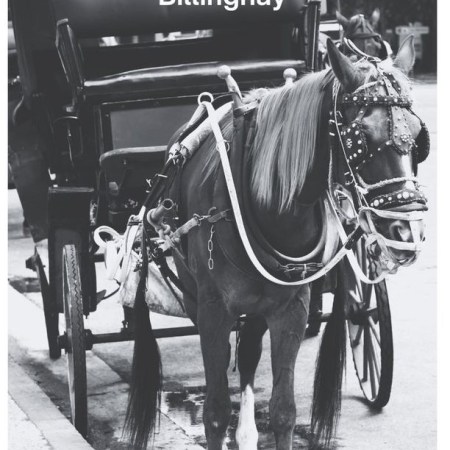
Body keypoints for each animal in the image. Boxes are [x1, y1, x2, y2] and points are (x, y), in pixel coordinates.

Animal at [123, 36, 428, 450]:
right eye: (363, 138)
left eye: (418, 136)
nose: (408, 234)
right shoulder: (213, 311)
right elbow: (215, 413)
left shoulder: (291, 309)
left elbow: (283, 411)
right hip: (194, 296)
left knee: (251, 351)